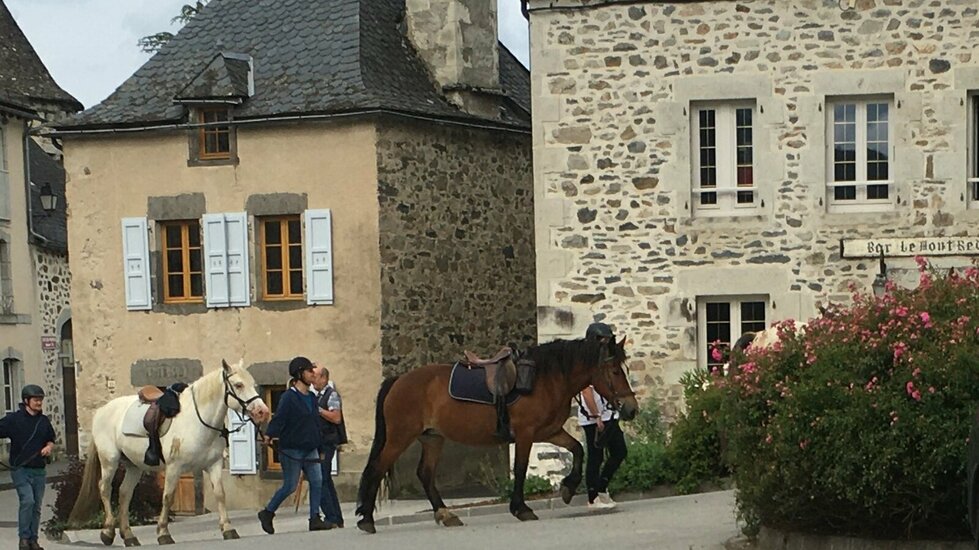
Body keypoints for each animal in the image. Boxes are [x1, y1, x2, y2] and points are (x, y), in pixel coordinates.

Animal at [69, 362, 270, 548]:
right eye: (238, 385)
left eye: (252, 383)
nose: (263, 411)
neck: (197, 421)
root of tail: (102, 411)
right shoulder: (175, 467)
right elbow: (167, 497)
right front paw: (163, 533)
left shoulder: (214, 465)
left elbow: (220, 494)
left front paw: (228, 529)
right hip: (109, 461)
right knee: (105, 488)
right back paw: (108, 531)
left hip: (134, 466)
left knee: (125, 493)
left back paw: (129, 536)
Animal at [356, 336, 640, 536]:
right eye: (615, 371)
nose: (631, 408)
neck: (544, 379)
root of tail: (398, 380)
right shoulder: (526, 434)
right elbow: (521, 468)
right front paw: (521, 508)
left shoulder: (550, 431)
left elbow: (578, 450)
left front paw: (568, 488)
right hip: (399, 437)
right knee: (377, 469)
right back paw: (366, 520)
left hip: (432, 438)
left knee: (425, 474)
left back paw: (446, 515)